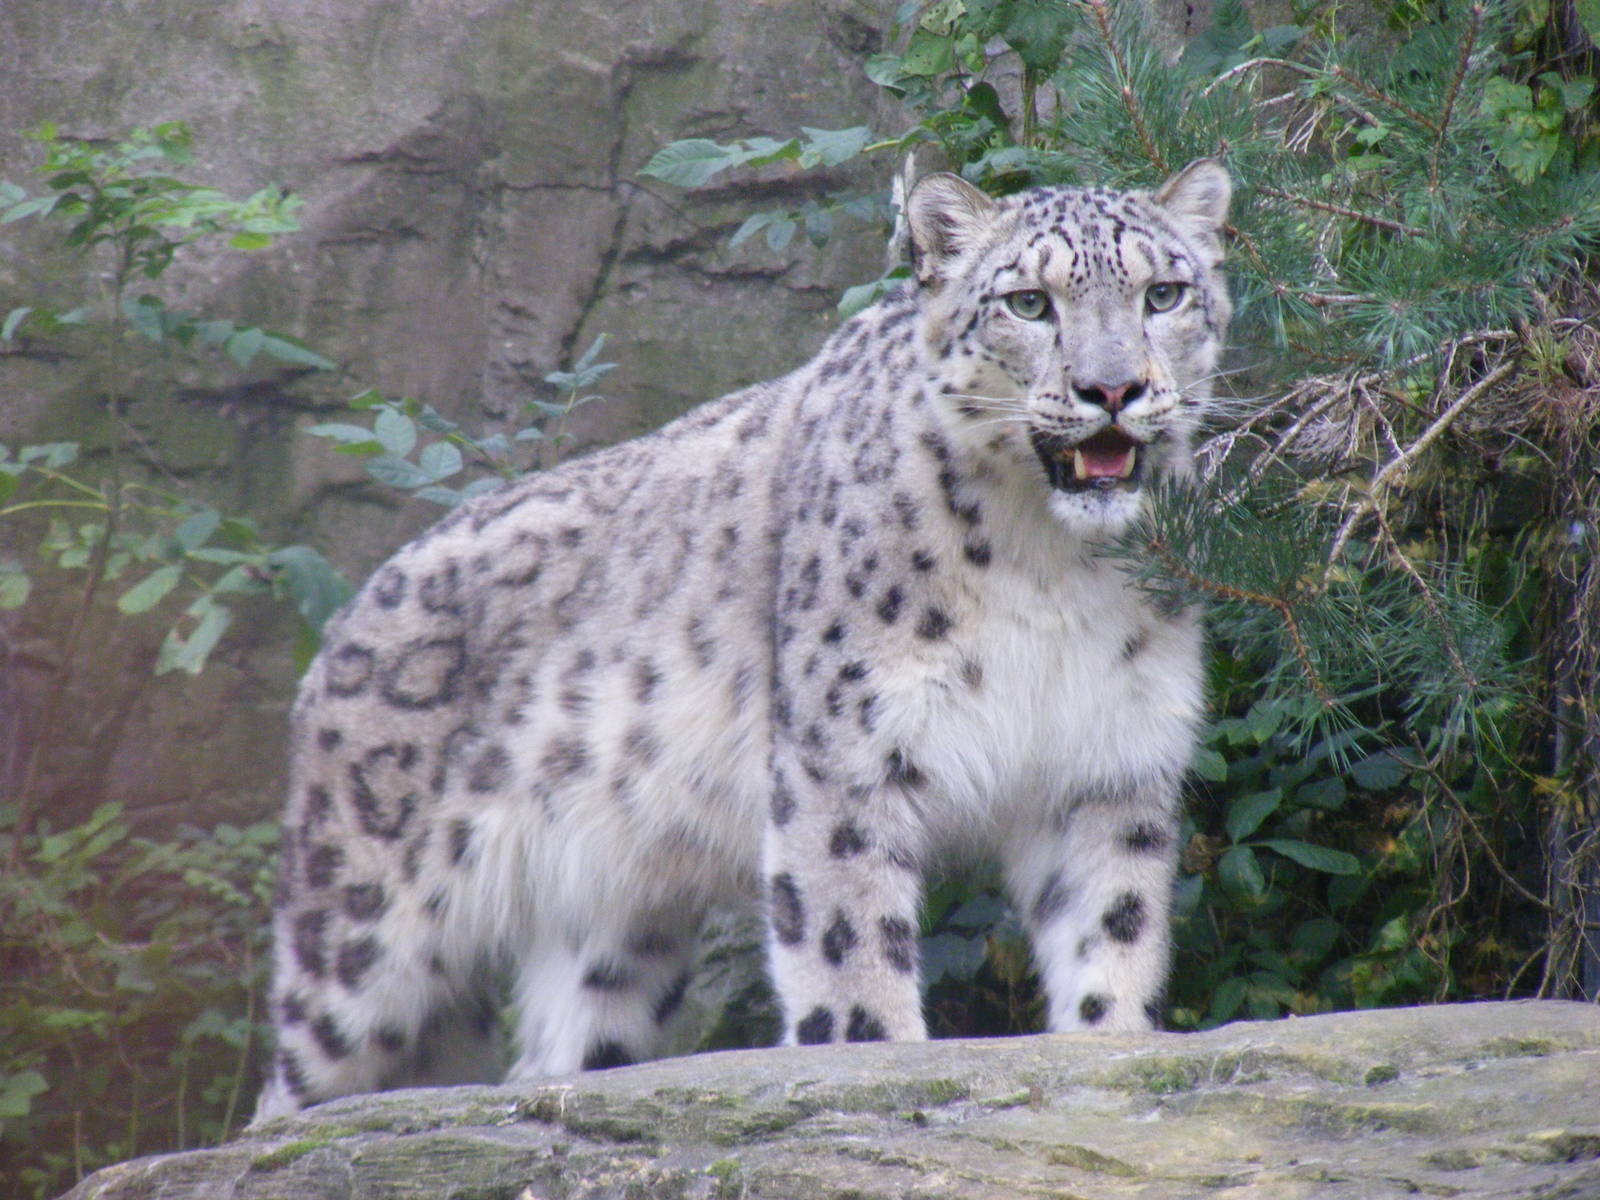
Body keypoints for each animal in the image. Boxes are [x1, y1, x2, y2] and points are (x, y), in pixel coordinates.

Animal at [254, 159, 1232, 1118]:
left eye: (1165, 294)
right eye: (1029, 302)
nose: (1113, 389)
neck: (1053, 565)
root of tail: (342, 624)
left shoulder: (1107, 758)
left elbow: (1112, 924)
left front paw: (1110, 1044)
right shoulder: (848, 751)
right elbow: (849, 939)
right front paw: (874, 1058)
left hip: (613, 926)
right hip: (362, 926)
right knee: (294, 1079)